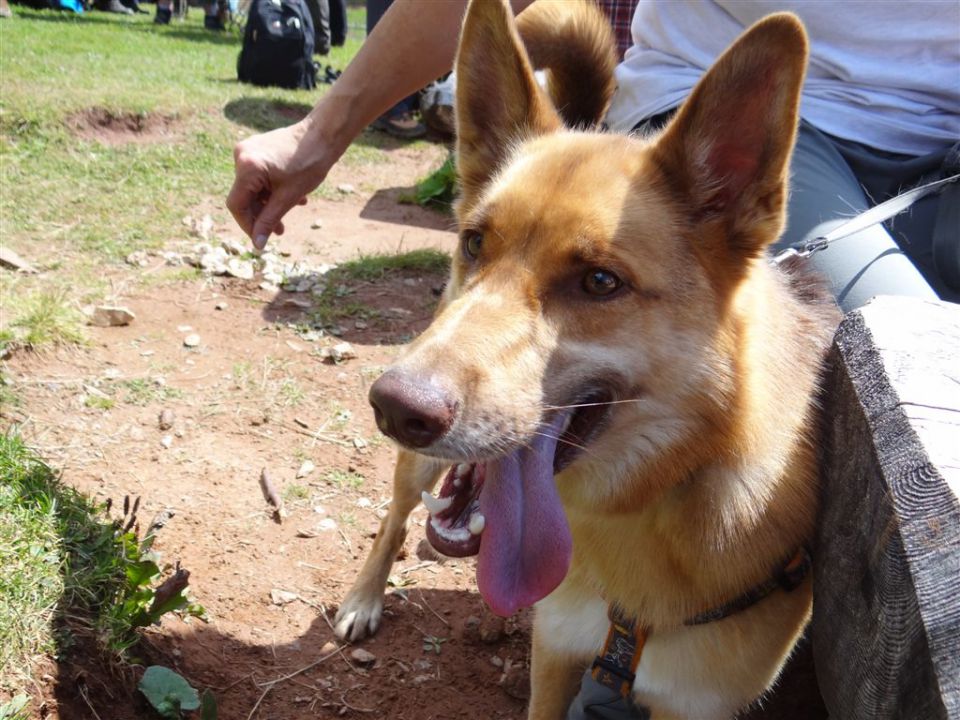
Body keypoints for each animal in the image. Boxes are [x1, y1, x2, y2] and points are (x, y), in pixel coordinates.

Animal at [334, 2, 836, 716]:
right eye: (475, 243)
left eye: (601, 282)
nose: (396, 408)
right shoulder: (556, 655)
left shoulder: (694, 701)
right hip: (419, 467)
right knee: (397, 518)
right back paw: (365, 597)